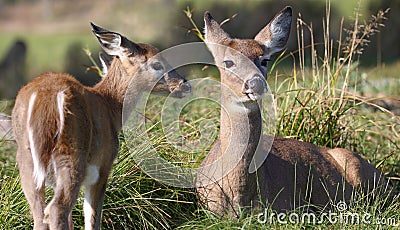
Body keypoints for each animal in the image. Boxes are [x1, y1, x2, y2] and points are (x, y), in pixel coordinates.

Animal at [13, 23, 191, 230]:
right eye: (157, 64)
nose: (185, 85)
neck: (110, 106)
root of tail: (44, 100)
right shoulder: (103, 165)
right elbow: (93, 215)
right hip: (72, 153)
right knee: (57, 208)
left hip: (26, 160)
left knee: (40, 215)